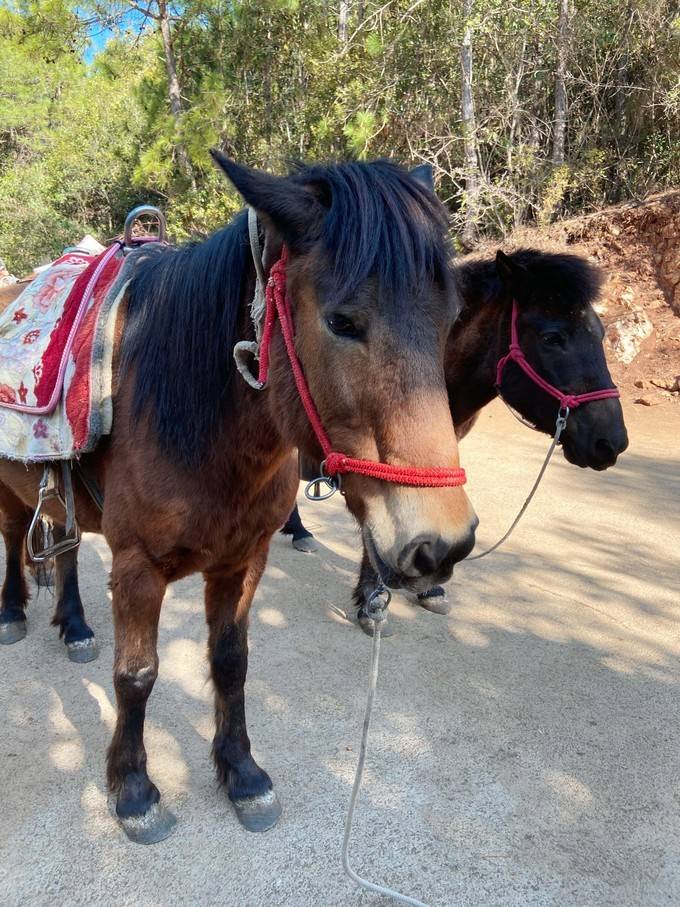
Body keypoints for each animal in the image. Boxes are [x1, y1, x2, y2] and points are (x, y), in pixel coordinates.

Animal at [0, 156, 478, 844]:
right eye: (341, 322)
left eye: (449, 318)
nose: (442, 543)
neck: (186, 408)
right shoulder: (138, 566)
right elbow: (136, 675)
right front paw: (135, 790)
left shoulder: (244, 558)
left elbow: (231, 661)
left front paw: (243, 773)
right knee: (16, 537)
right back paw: (13, 612)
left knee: (61, 548)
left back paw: (75, 625)